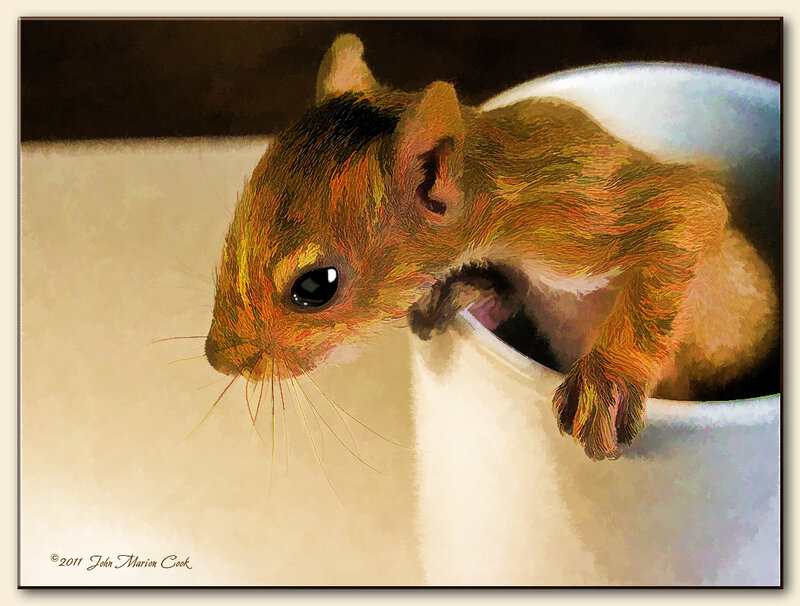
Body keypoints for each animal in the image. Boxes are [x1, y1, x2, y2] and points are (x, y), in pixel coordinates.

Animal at [205, 34, 778, 461]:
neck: (490, 189)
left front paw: (608, 382)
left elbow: (689, 207)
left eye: (316, 286)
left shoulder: (576, 216)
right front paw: (460, 293)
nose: (218, 357)